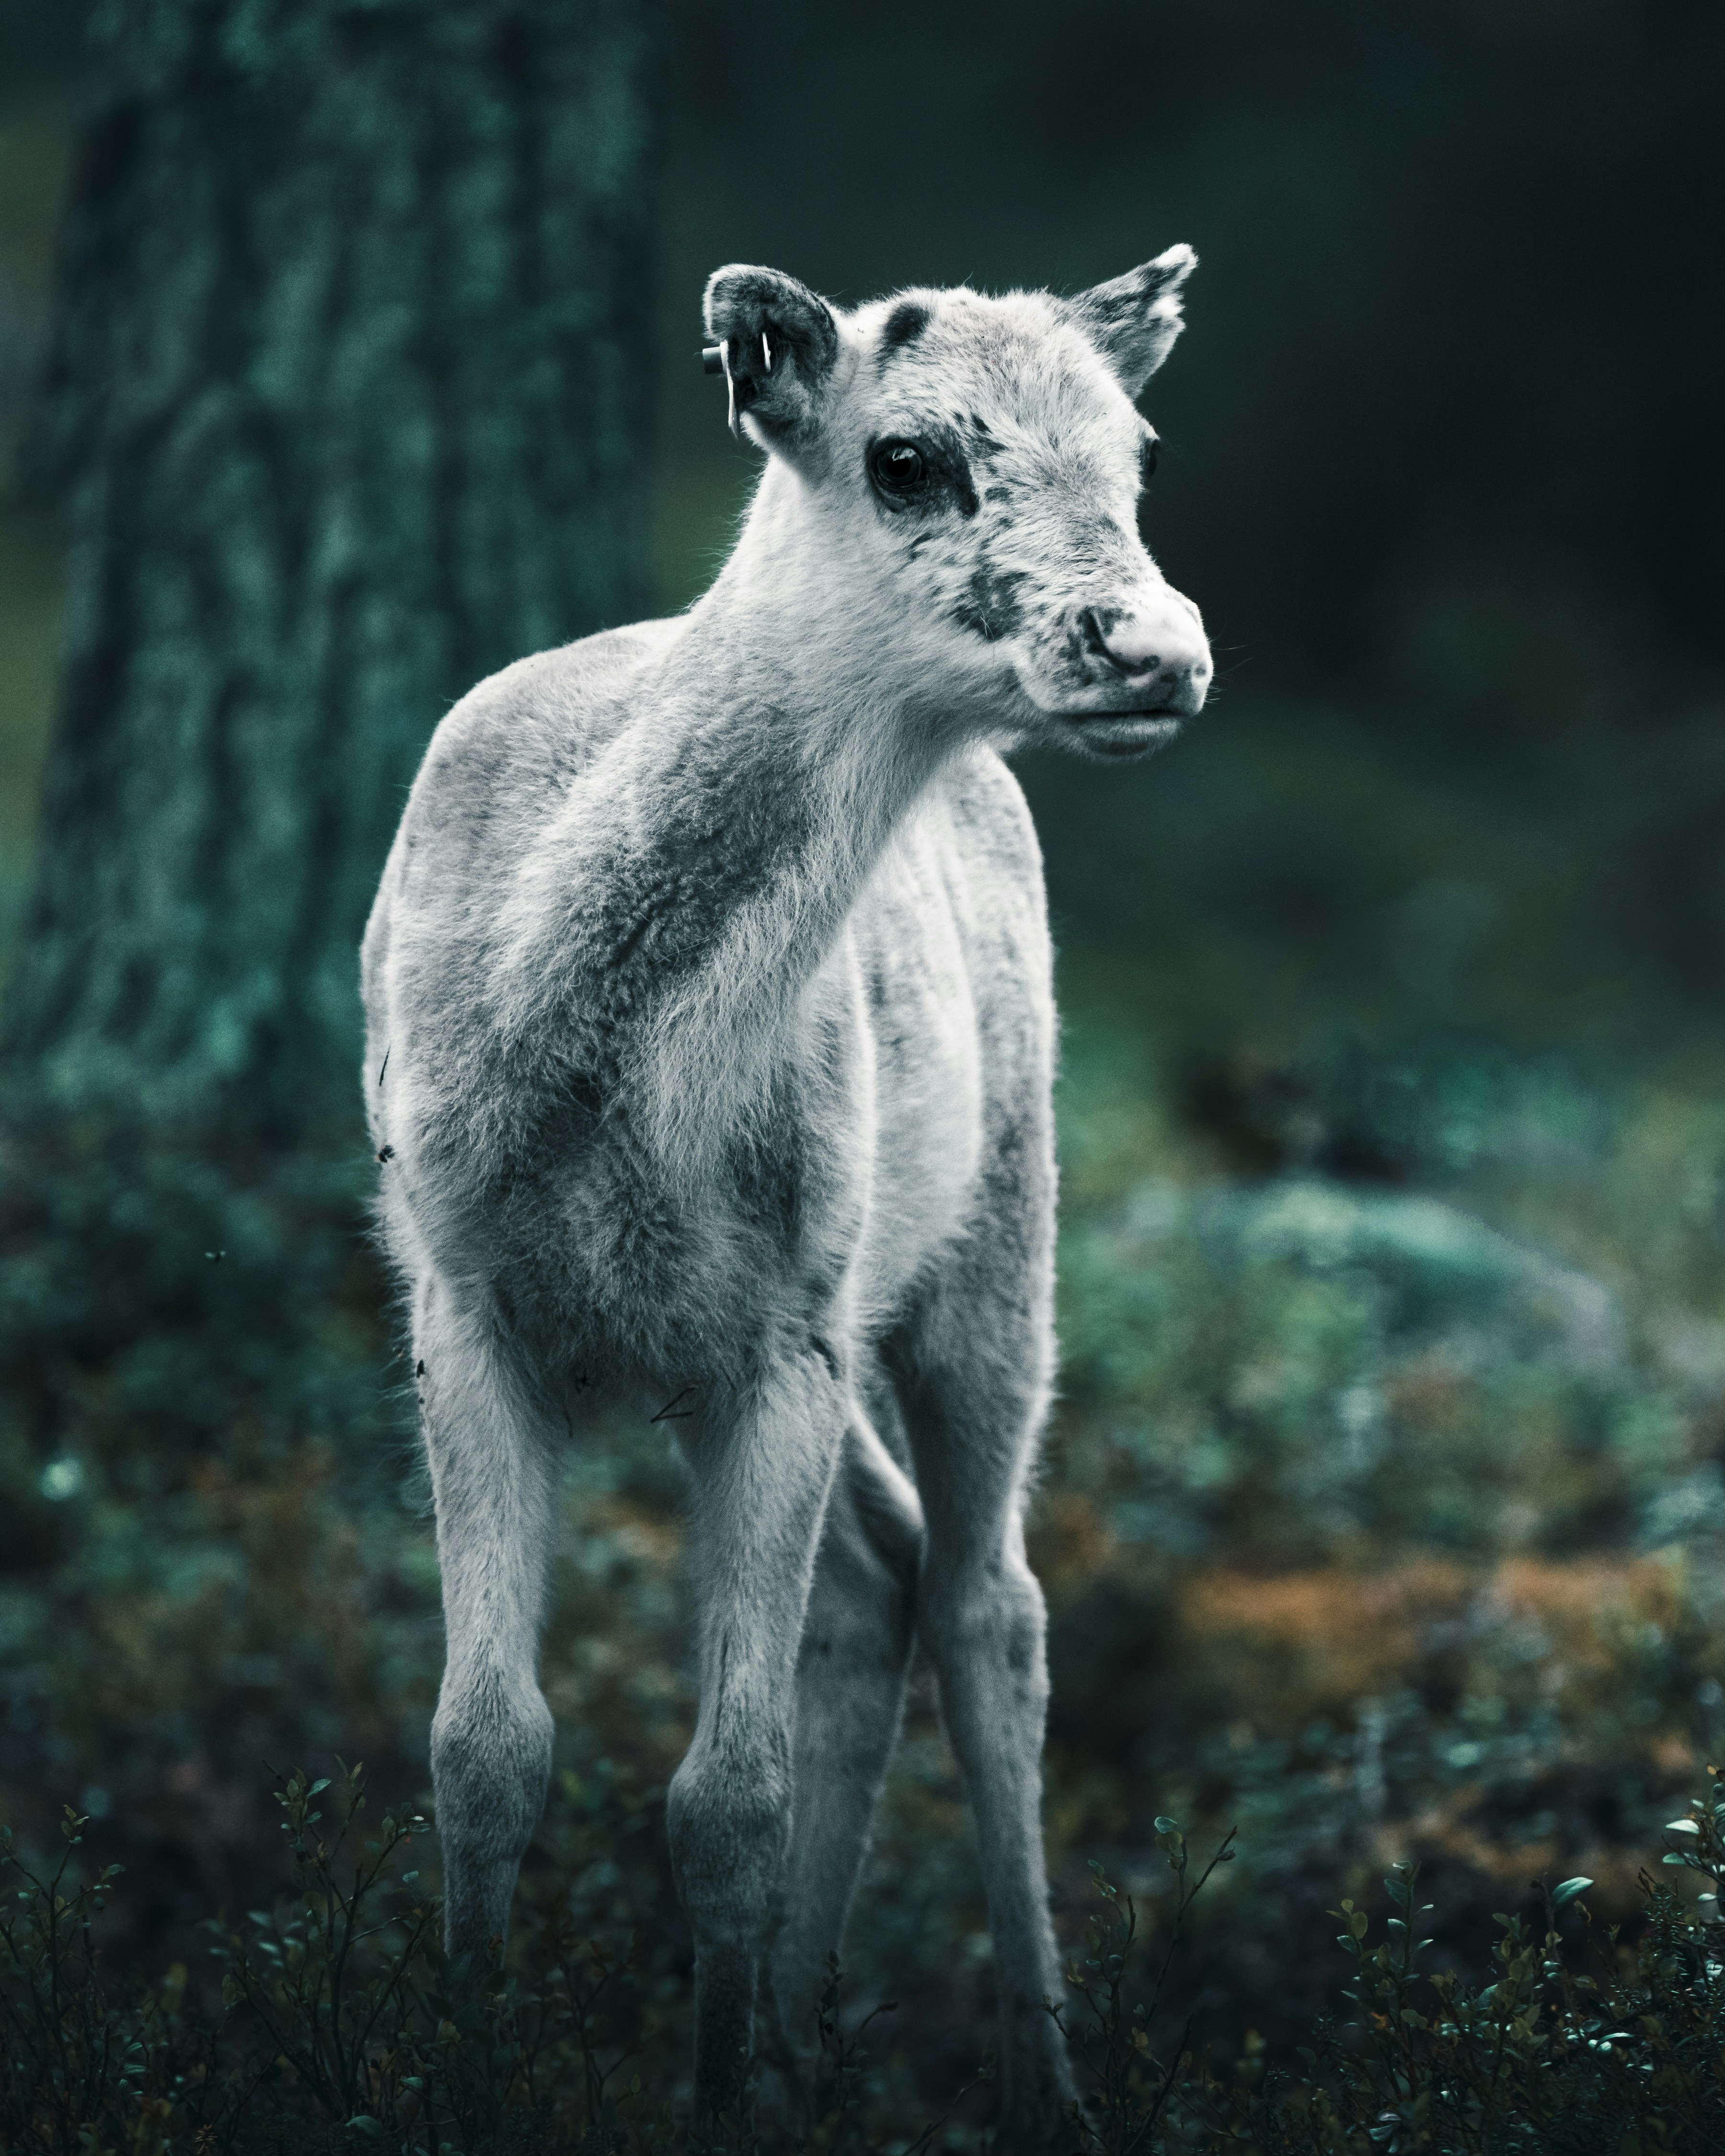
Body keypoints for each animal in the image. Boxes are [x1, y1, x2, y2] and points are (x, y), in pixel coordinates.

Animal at [361, 247, 1210, 2151]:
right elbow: (480, 1745)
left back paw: (1038, 2079)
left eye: (1134, 451)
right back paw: (805, 2050)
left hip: (997, 1217)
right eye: (906, 458)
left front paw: (708, 2085)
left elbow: (720, 1797)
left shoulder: (782, 1332)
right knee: (881, 1584)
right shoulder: (458, 1296)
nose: (1157, 649)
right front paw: (467, 2070)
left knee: (989, 1604)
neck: (597, 1064)